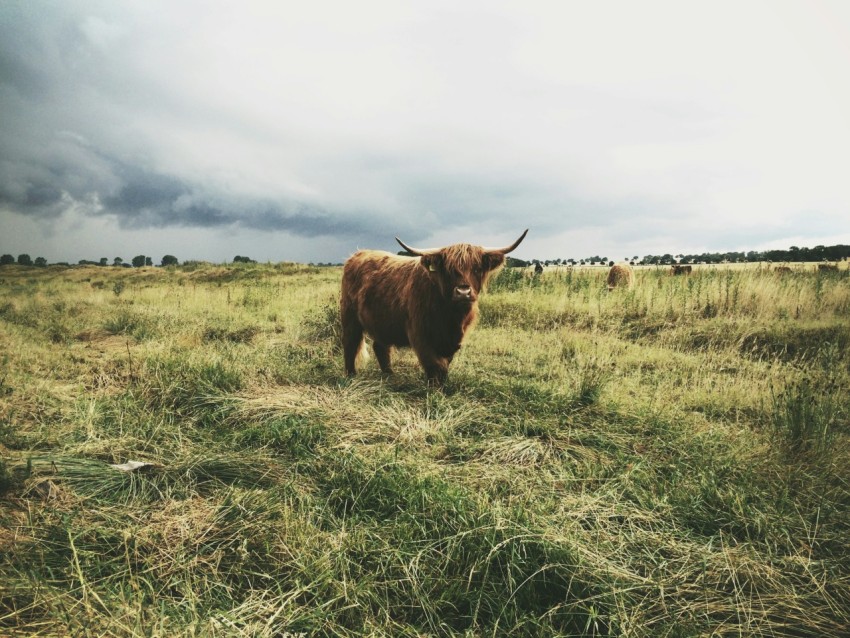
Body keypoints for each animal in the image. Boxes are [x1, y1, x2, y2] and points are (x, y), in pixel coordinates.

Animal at [340, 230, 528, 385]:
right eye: (449, 269)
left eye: (476, 268)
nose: (463, 292)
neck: (451, 317)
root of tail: (358, 254)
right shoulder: (420, 334)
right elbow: (434, 364)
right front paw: (434, 389)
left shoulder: (453, 340)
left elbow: (445, 364)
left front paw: (443, 385)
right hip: (349, 316)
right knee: (350, 343)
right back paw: (350, 376)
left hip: (382, 321)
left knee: (380, 347)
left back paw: (389, 375)